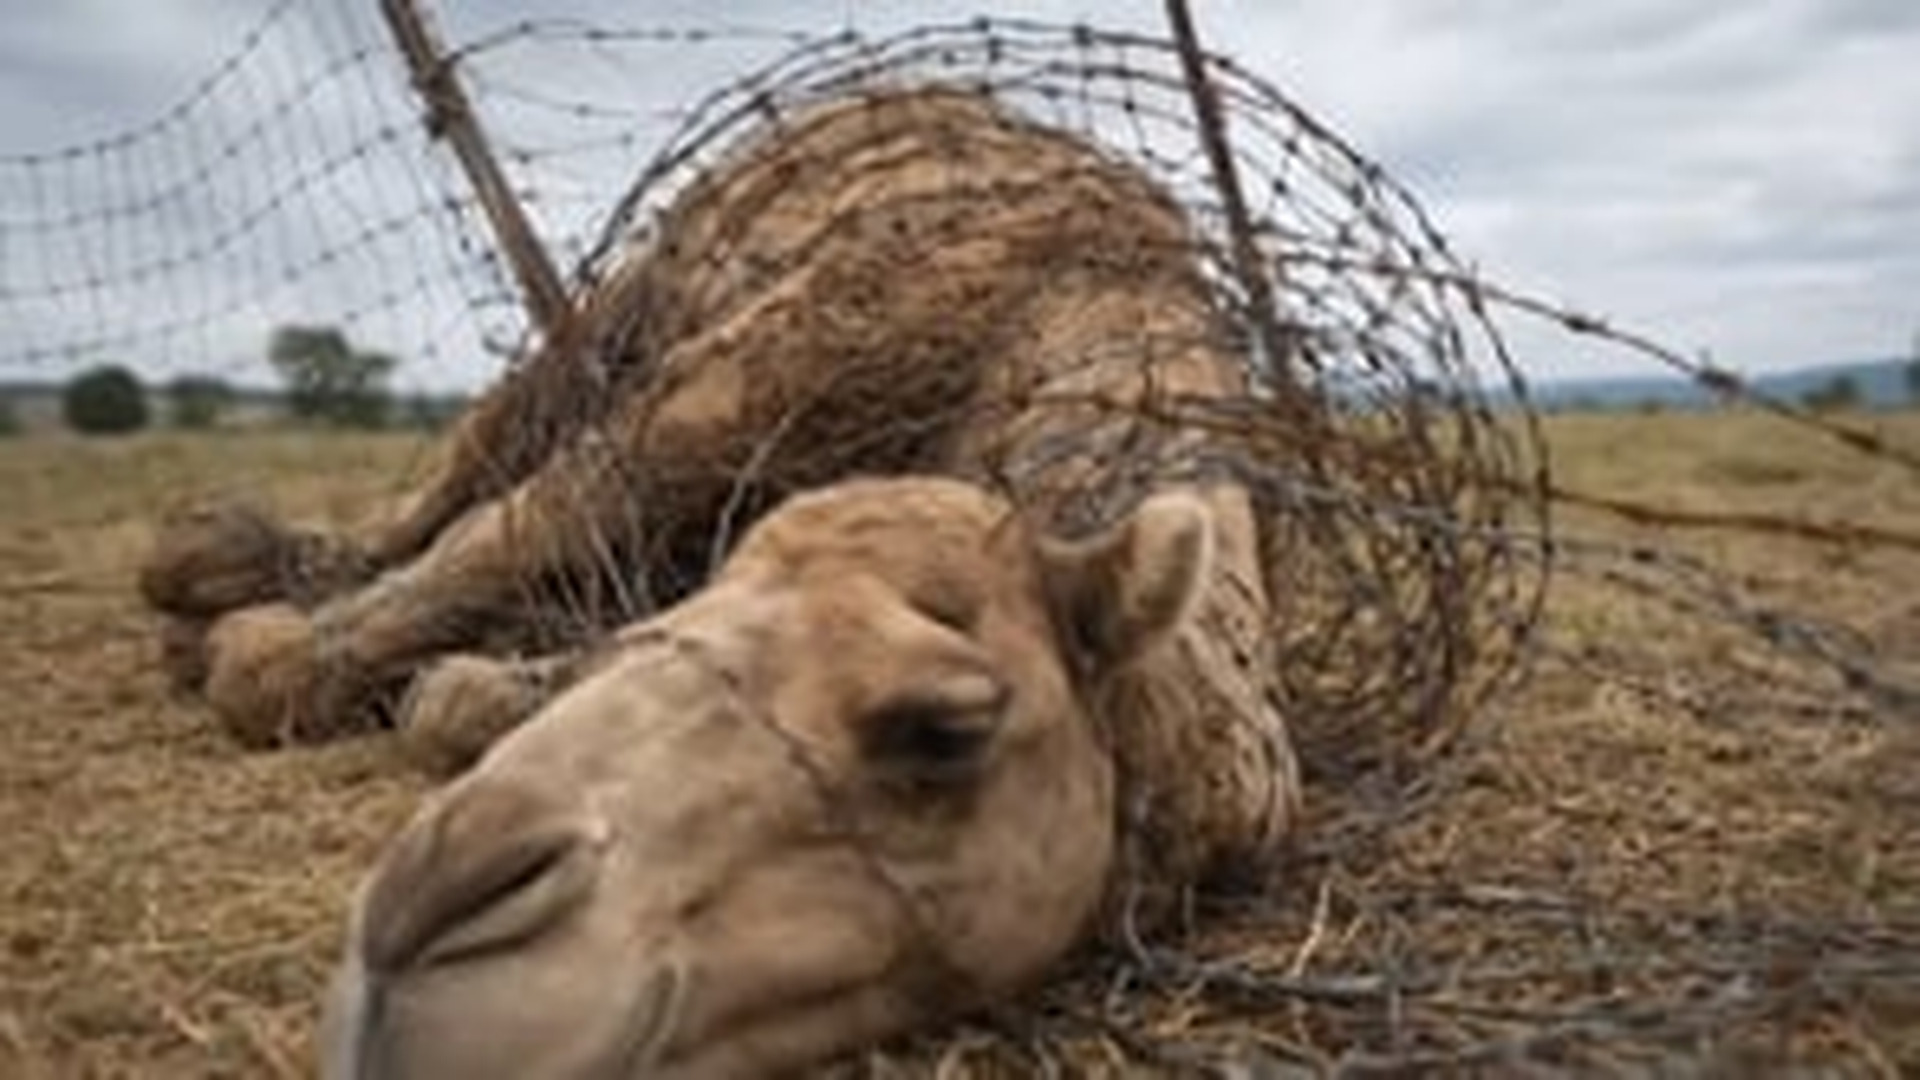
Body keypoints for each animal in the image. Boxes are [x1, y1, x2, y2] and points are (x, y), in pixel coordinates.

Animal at [142, 87, 1301, 1076]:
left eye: (944, 729)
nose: (435, 897)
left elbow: (466, 688)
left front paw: (474, 684)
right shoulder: (752, 376)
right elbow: (521, 529)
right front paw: (259, 650)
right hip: (628, 309)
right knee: (468, 474)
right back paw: (213, 570)